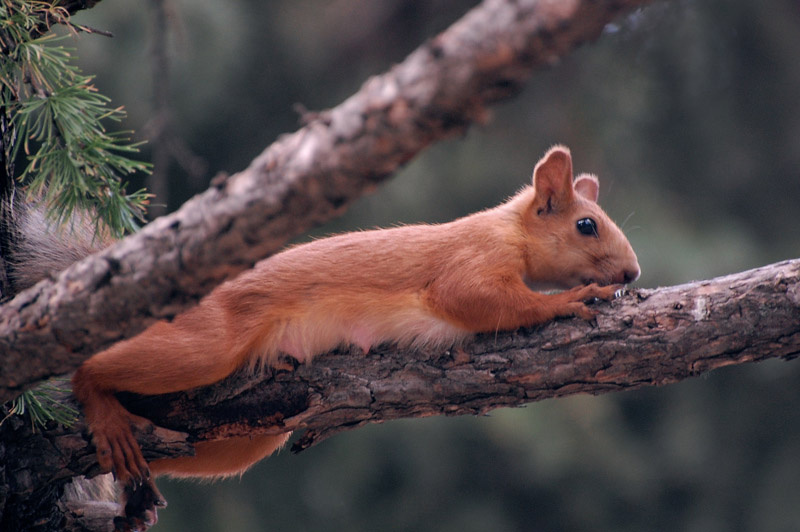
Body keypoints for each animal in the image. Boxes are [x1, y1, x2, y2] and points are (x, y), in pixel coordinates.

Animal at [62, 145, 638, 529]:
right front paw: (571, 298)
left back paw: (135, 489)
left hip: (251, 428)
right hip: (206, 345)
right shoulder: (469, 263)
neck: (509, 229)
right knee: (93, 369)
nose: (632, 273)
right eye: (587, 225)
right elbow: (474, 299)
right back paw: (100, 405)